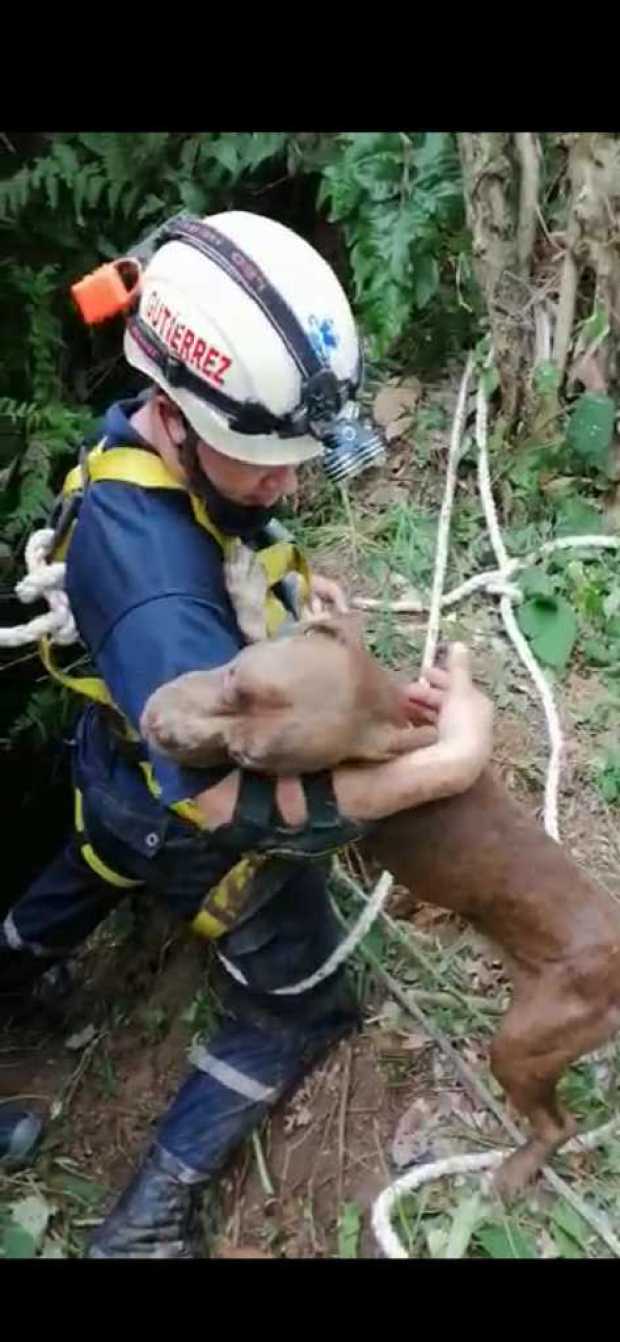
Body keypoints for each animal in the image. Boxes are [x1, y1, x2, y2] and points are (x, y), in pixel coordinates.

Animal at [142, 617, 620, 1197]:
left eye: (249, 759)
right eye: (234, 677)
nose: (155, 723)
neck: (391, 709)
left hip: (522, 1047)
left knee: (558, 1124)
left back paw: (513, 1172)